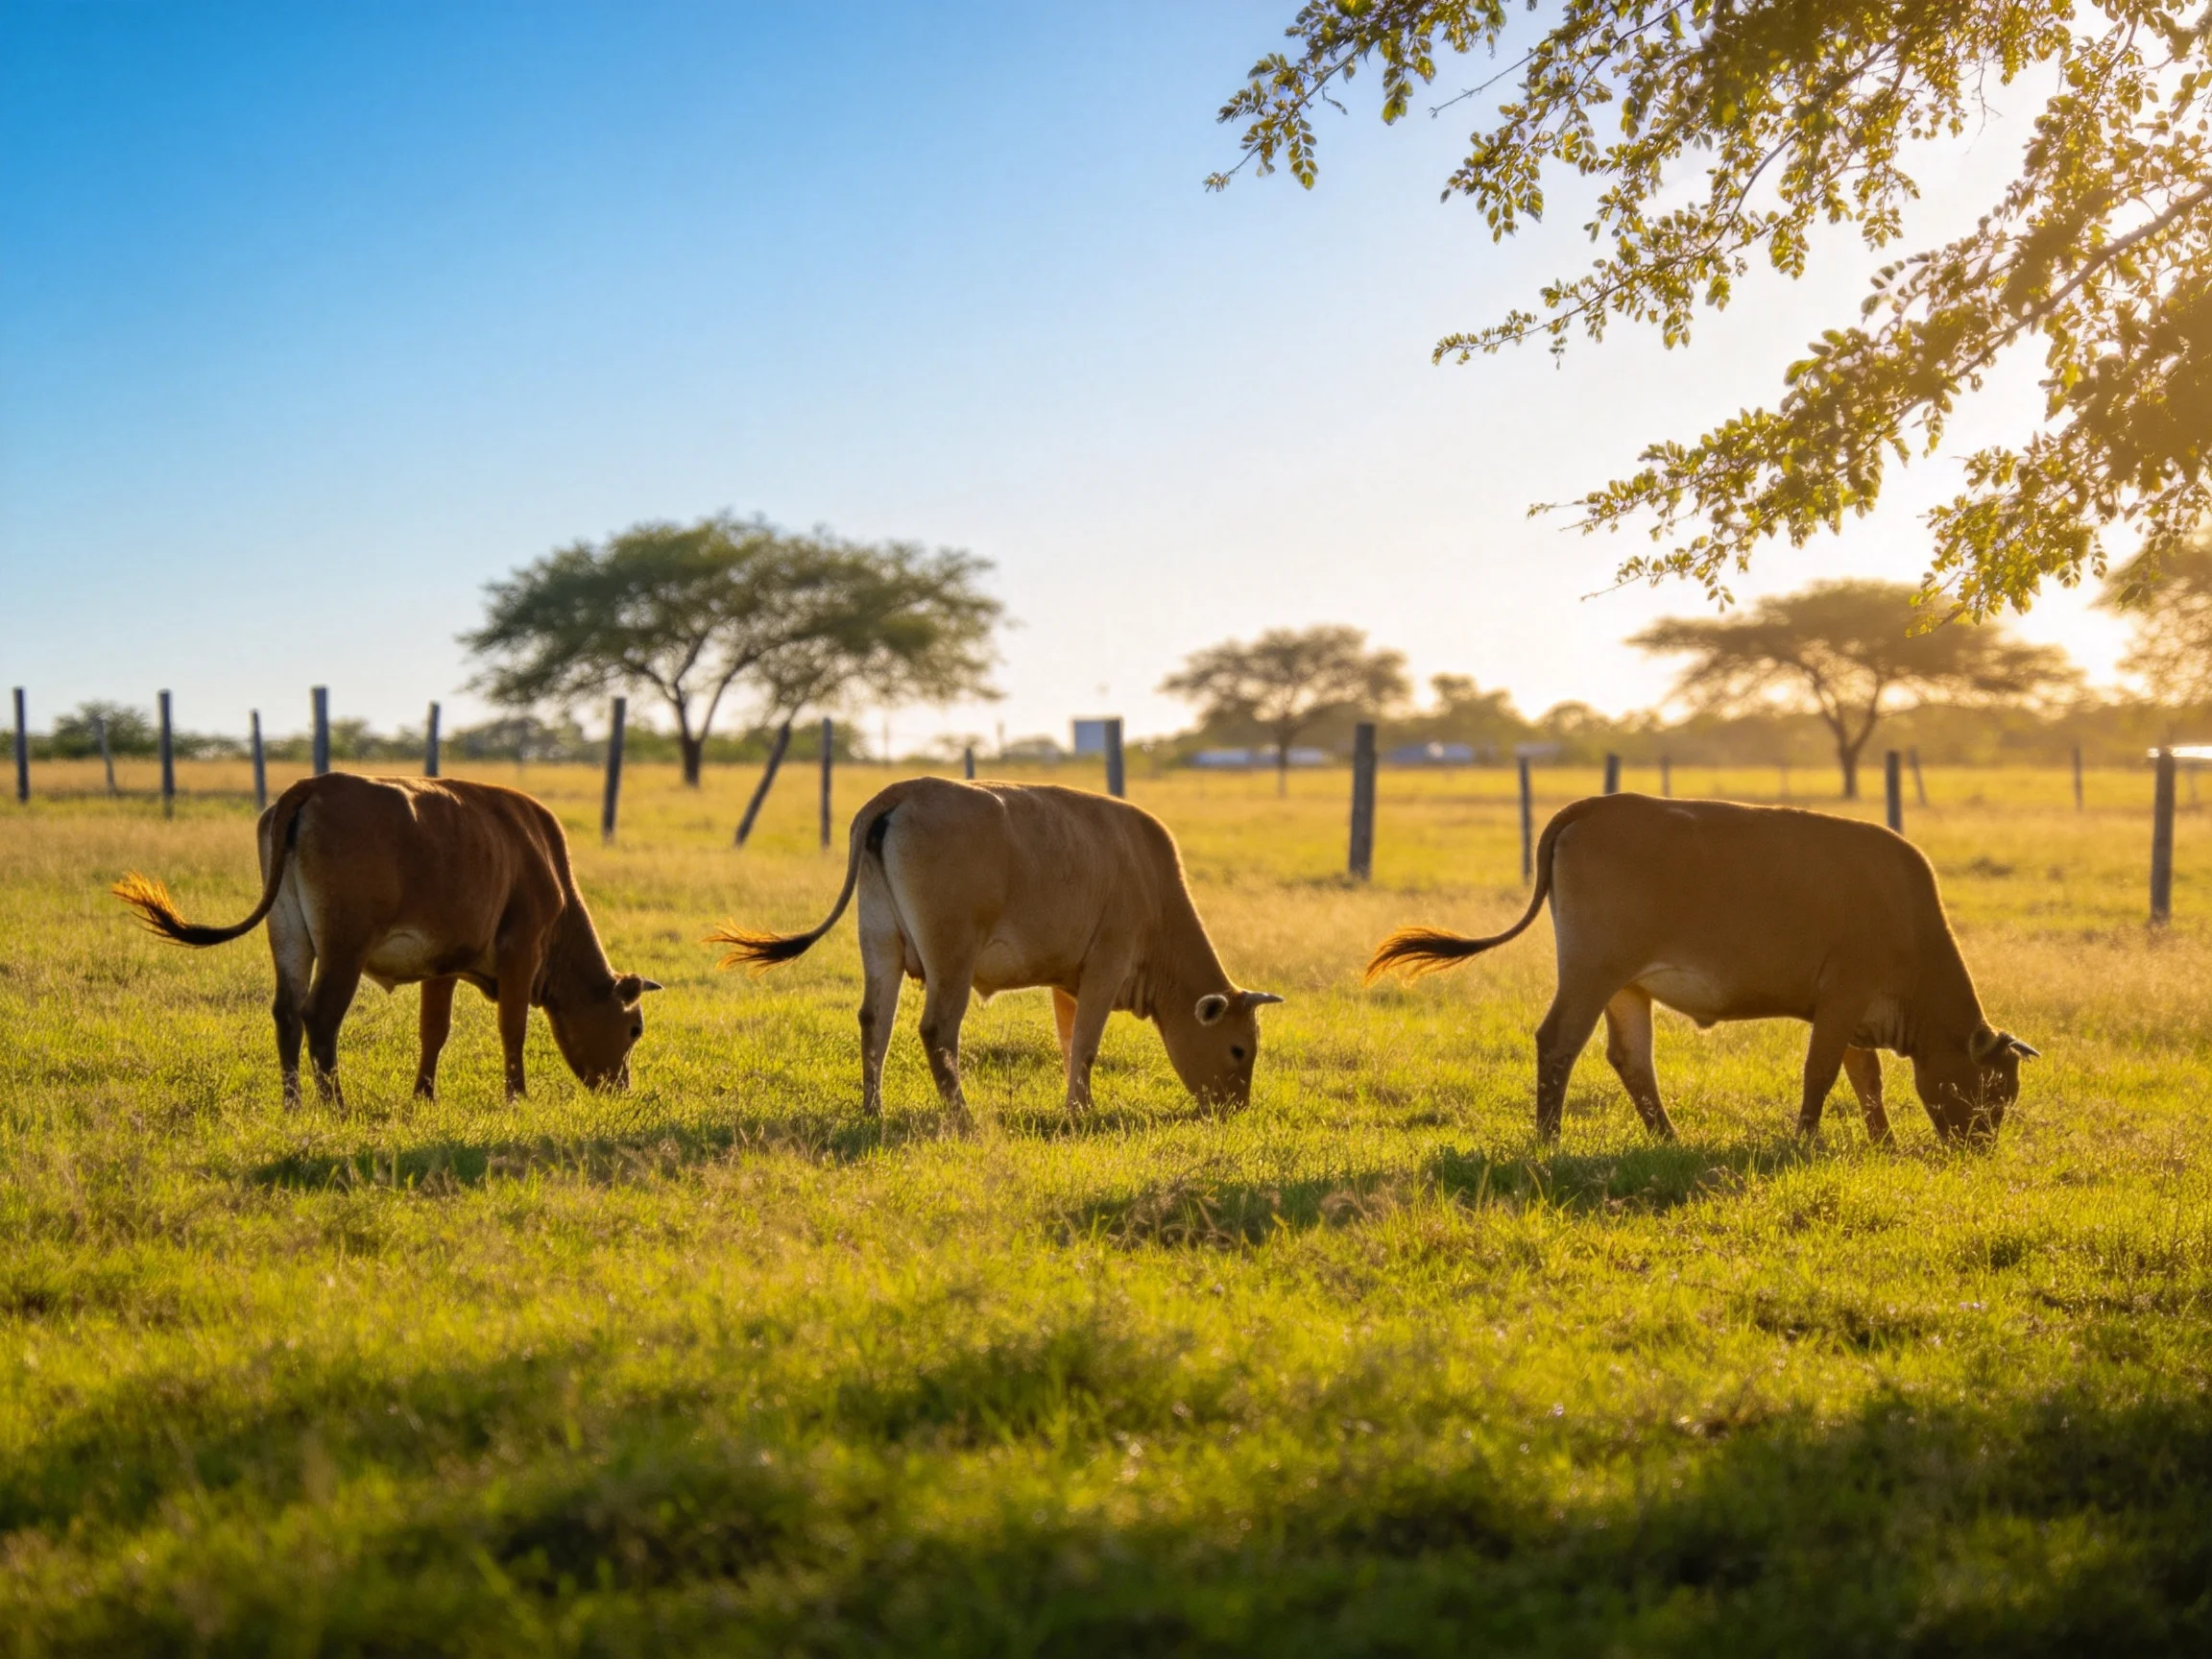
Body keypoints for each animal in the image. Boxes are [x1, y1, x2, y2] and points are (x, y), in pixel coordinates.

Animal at [112, 773, 660, 1106]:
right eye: (634, 1029)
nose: (621, 1089)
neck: (539, 859)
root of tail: (317, 784)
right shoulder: (520, 955)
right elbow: (513, 1029)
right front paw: (516, 1098)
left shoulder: (444, 965)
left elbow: (434, 1030)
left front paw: (424, 1096)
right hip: (344, 948)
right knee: (319, 1016)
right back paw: (335, 1106)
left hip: (288, 936)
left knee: (287, 1013)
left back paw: (292, 1105)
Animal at [708, 777, 1282, 1118]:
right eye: (1239, 1049)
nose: (1234, 1109)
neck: (1148, 879)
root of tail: (904, 791)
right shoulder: (1106, 968)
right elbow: (1086, 1046)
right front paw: (1081, 1112)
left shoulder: (1068, 984)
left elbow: (1069, 1044)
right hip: (951, 962)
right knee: (937, 1031)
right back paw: (961, 1117)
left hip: (880, 944)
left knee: (876, 1021)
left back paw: (874, 1109)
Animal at [1367, 794, 2037, 1144]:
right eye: (1989, 1090)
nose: (1978, 1148)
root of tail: (1601, 804)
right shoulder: (1844, 998)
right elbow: (1822, 1073)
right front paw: (1804, 1141)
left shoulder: (1849, 1014)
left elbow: (1863, 1078)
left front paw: (1885, 1143)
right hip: (1591, 972)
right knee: (1559, 1042)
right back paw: (1549, 1140)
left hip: (1626, 986)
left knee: (1631, 1058)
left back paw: (1667, 1139)